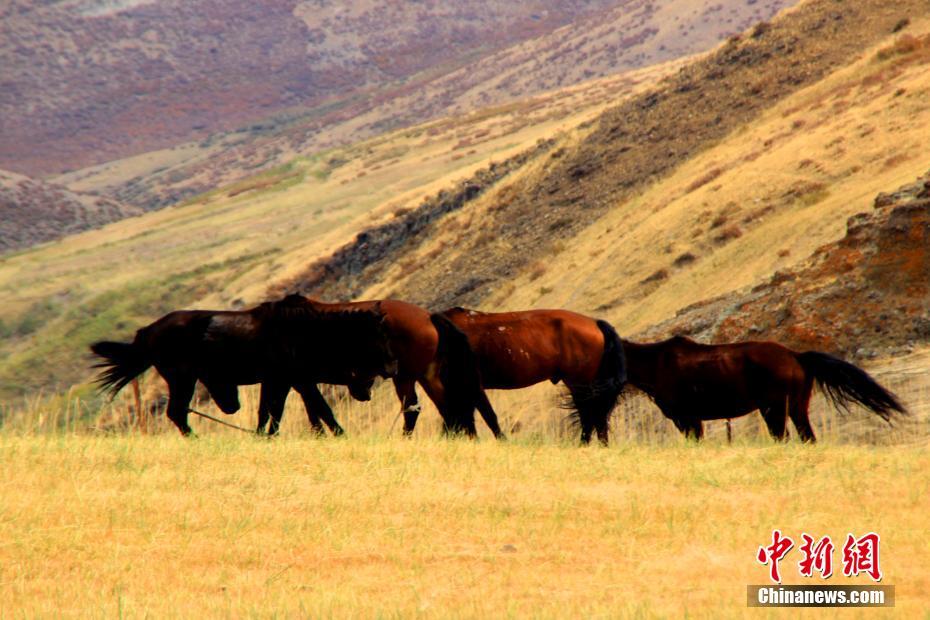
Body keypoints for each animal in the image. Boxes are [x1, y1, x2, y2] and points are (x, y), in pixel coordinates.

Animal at [90, 296, 398, 436]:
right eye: (379, 335)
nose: (393, 366)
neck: (304, 330)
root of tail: (147, 332)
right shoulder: (294, 380)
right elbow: (318, 408)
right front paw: (340, 435)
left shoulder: (286, 381)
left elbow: (273, 412)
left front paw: (266, 436)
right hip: (182, 379)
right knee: (176, 412)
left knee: (177, 413)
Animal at [422, 306, 632, 444]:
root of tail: (595, 323)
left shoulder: (471, 384)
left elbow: (485, 416)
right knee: (597, 416)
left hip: (580, 384)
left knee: (590, 416)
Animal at [620, 336, 904, 444]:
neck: (655, 363)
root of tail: (796, 356)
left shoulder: (687, 418)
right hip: (797, 408)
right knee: (807, 437)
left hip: (774, 410)